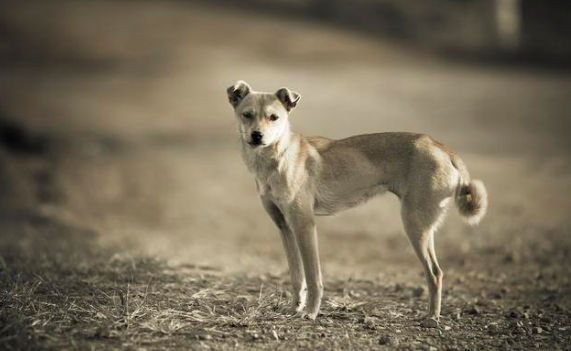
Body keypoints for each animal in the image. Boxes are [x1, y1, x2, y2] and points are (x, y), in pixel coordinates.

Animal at [226, 80, 490, 328]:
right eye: (247, 114)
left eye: (274, 117)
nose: (257, 135)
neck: (277, 157)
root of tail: (439, 146)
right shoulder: (285, 227)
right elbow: (296, 277)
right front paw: (295, 309)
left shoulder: (305, 226)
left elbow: (313, 278)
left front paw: (310, 313)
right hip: (423, 227)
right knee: (436, 272)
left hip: (414, 225)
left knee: (434, 273)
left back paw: (432, 318)